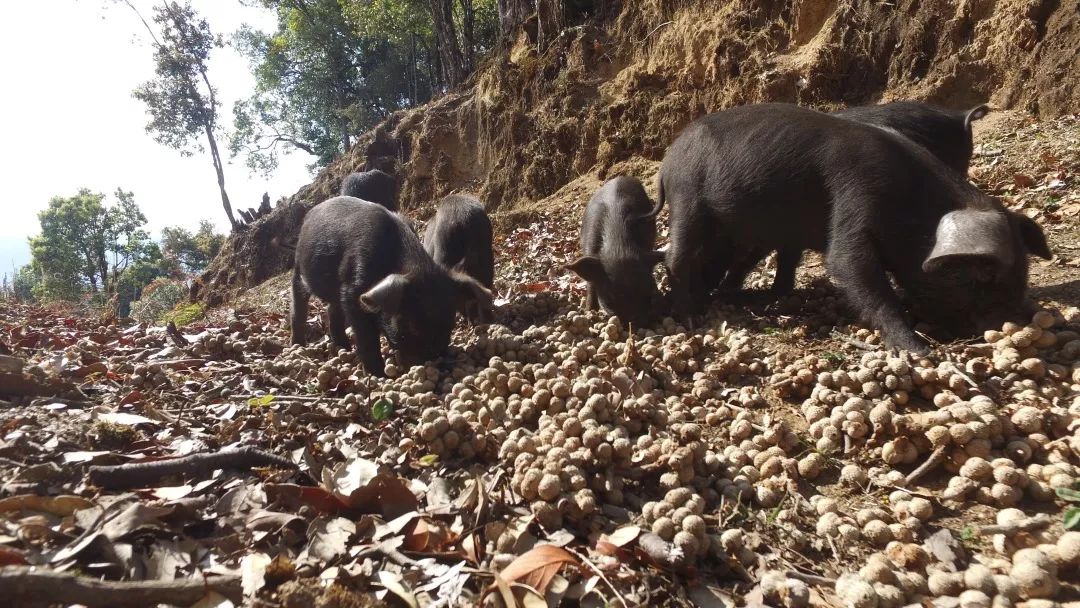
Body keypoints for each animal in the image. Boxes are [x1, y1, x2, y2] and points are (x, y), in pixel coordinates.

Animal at [570, 176, 660, 326]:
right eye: (609, 301)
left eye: (649, 291)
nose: (635, 322)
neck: (618, 247)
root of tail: (620, 177)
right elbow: (591, 284)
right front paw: (589, 311)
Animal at [652, 103, 1049, 352]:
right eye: (984, 276)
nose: (1016, 320)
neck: (911, 205)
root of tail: (667, 161)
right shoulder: (857, 195)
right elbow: (850, 265)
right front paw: (918, 350)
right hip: (688, 198)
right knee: (677, 257)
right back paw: (691, 316)